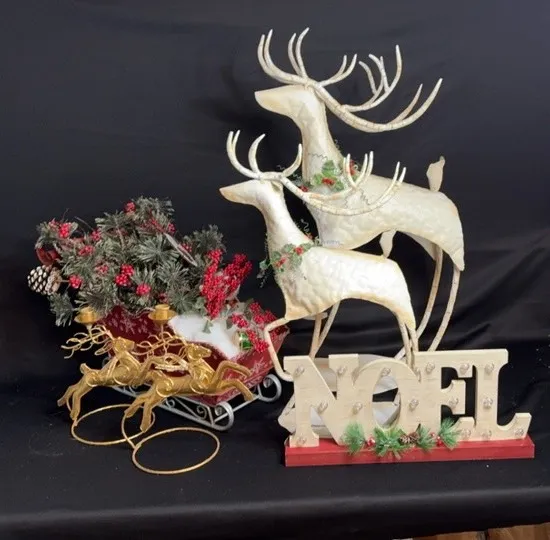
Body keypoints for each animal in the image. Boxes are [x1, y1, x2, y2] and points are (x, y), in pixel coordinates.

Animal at [221, 131, 418, 381]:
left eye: (255, 182)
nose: (225, 190)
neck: (289, 246)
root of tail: (396, 268)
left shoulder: (297, 307)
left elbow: (267, 329)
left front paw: (286, 373)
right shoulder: (313, 309)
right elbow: (314, 336)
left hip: (402, 304)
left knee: (414, 333)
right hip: (395, 304)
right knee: (405, 332)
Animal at [253, 28, 464, 360]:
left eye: (294, 89)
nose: (259, 95)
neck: (334, 179)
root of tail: (442, 196)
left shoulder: (337, 240)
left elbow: (333, 298)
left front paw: (313, 353)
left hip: (455, 249)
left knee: (452, 283)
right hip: (430, 243)